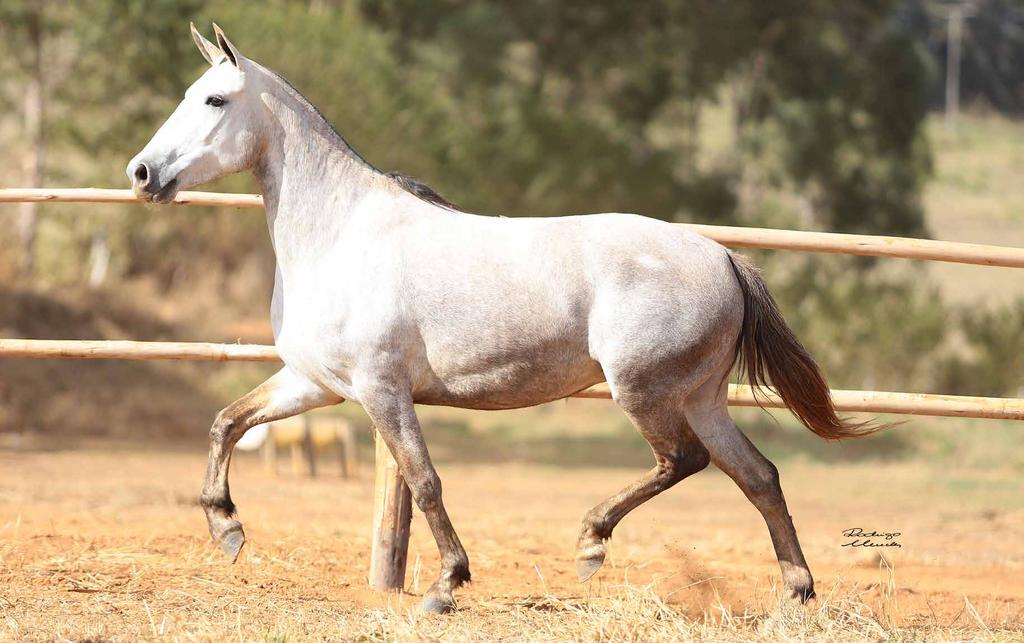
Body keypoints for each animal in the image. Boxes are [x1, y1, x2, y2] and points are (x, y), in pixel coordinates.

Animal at [130, 25, 880, 614]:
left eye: (214, 99)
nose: (141, 174)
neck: (340, 234)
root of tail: (723, 256)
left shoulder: (380, 390)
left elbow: (425, 480)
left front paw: (445, 586)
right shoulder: (315, 383)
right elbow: (227, 422)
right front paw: (227, 530)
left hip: (645, 390)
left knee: (683, 460)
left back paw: (590, 543)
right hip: (702, 397)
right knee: (759, 475)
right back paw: (796, 593)